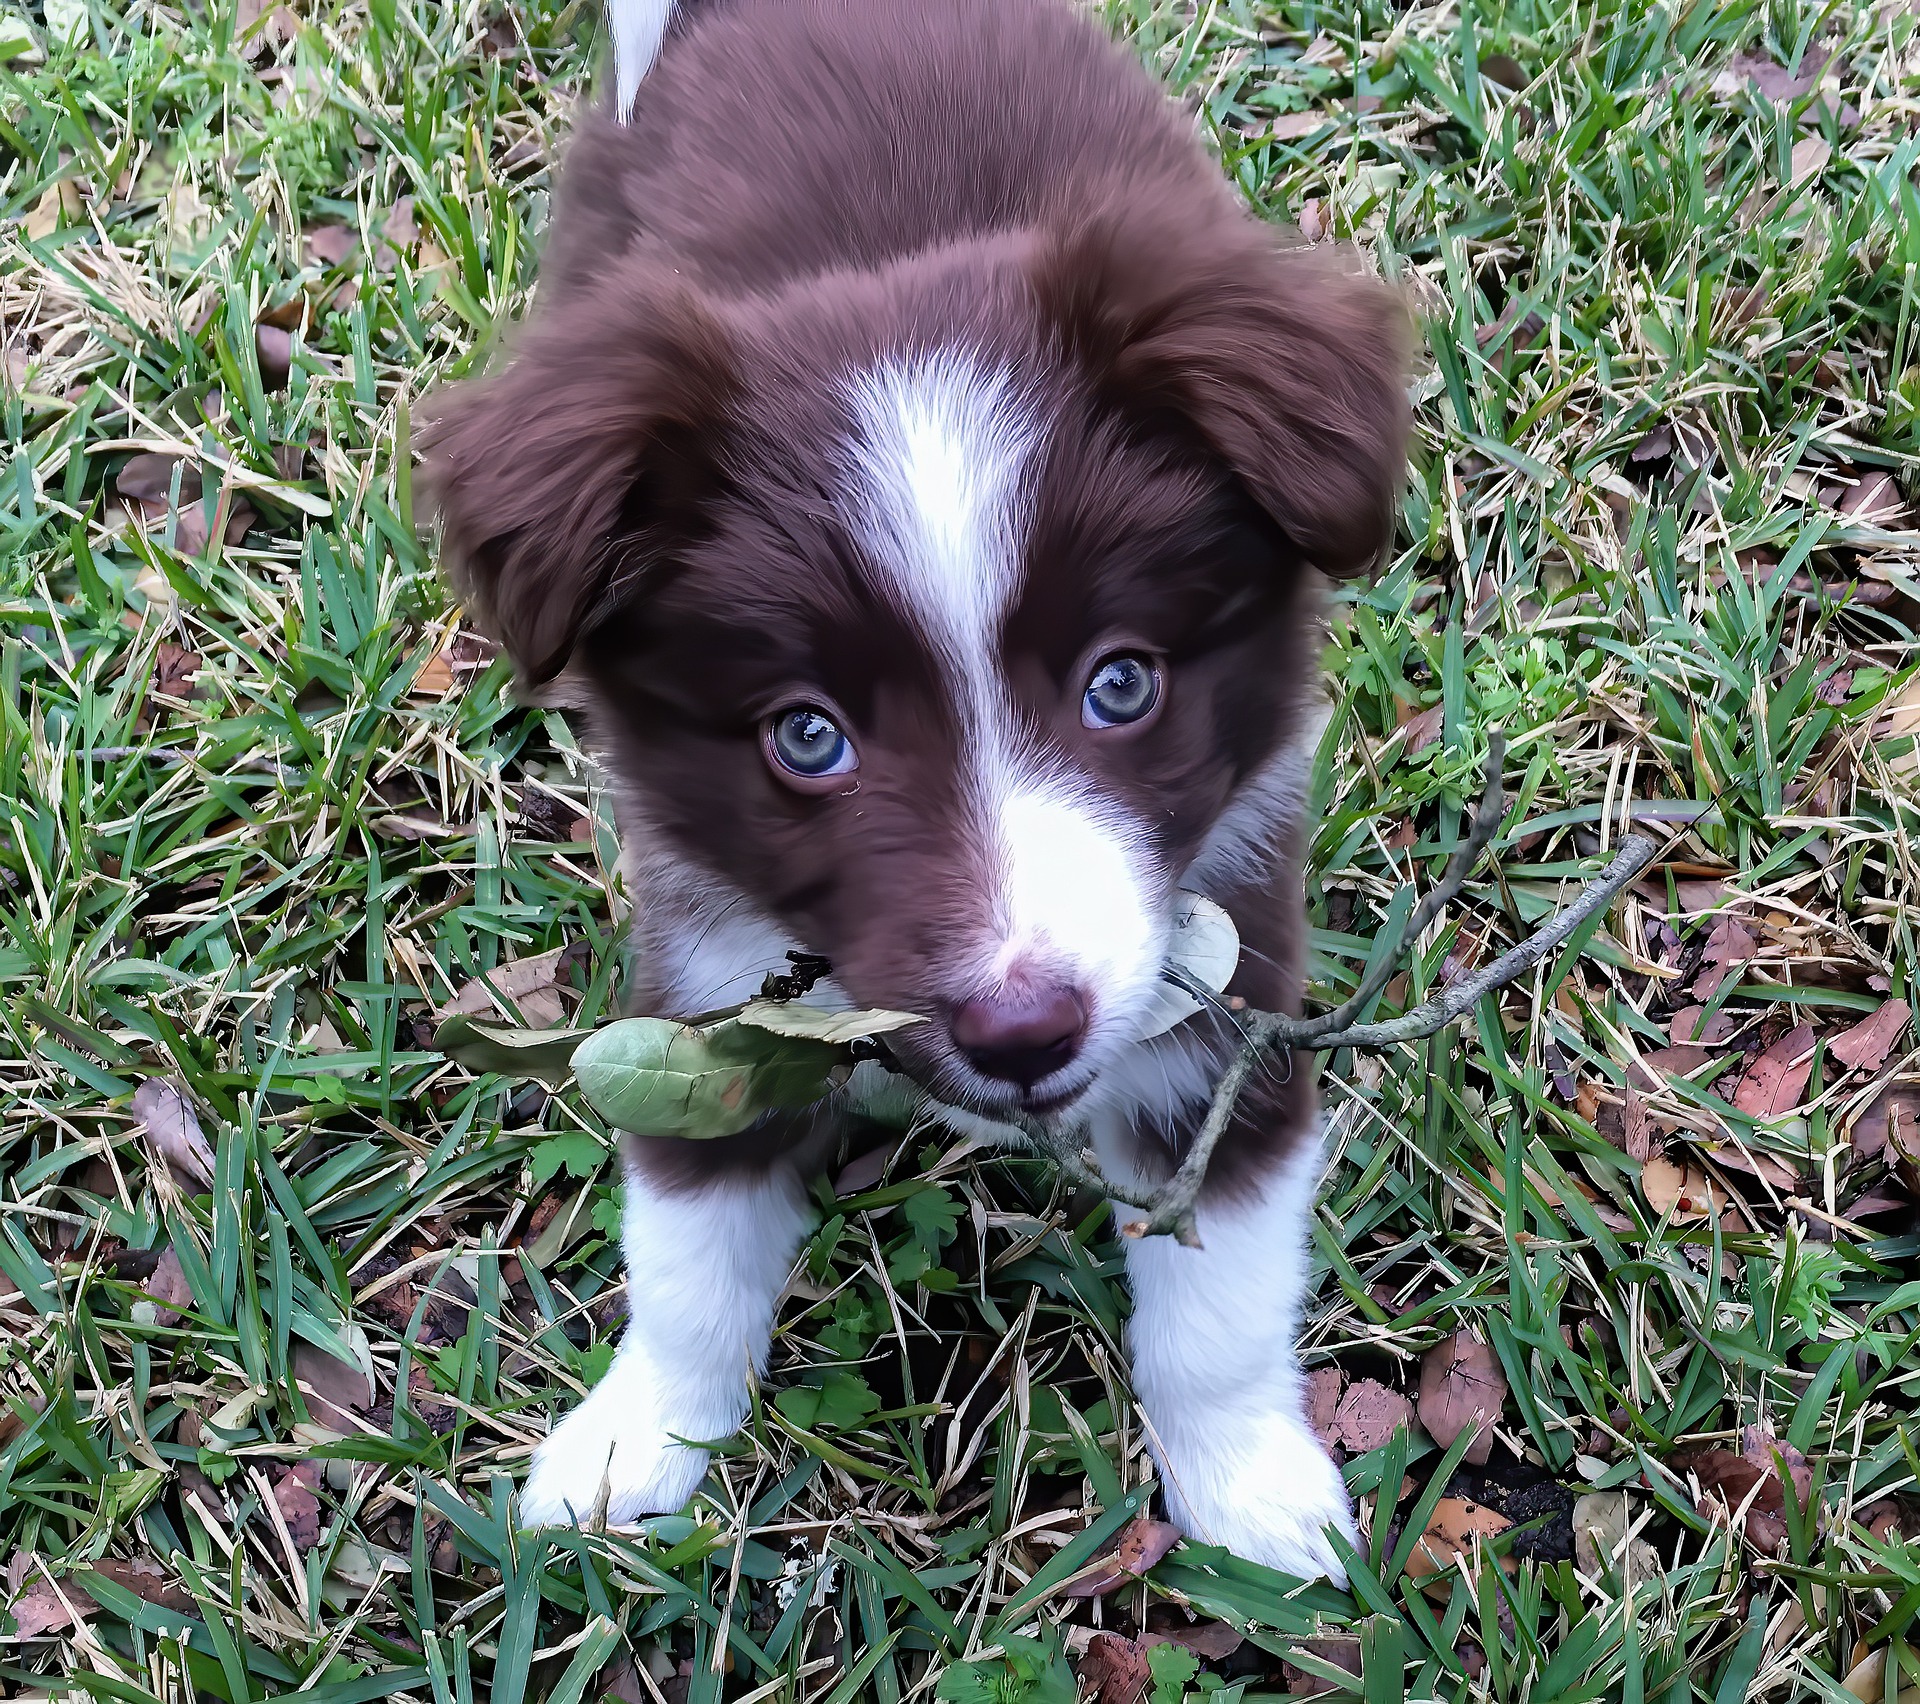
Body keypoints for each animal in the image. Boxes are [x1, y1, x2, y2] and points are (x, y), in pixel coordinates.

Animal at [424, 0, 1413, 1581]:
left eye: (1121, 684)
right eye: (807, 736)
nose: (1023, 1030)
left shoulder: (1224, 970)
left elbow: (1223, 1276)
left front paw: (1250, 1492)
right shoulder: (713, 971)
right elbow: (689, 1238)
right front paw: (638, 1442)